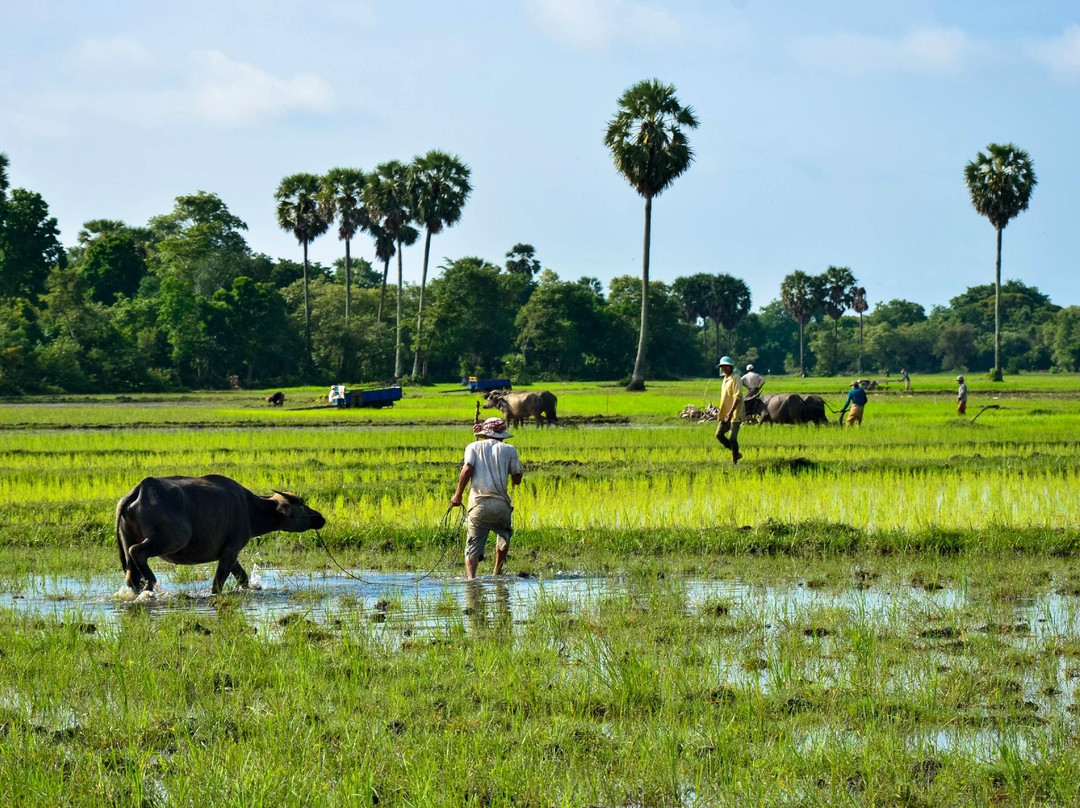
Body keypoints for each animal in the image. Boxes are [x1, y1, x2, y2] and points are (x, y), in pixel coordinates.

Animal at [115, 473, 324, 591]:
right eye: (302, 505)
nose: (320, 518)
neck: (251, 508)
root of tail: (139, 491)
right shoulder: (231, 550)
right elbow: (218, 583)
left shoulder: (230, 554)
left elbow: (243, 578)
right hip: (172, 539)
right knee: (137, 551)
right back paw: (151, 582)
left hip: (127, 540)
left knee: (131, 575)